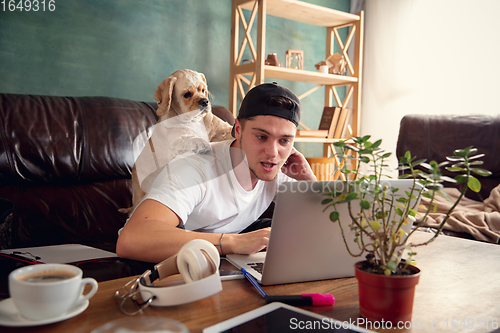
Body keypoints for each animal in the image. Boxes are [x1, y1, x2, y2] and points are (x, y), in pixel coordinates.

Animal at [119, 70, 232, 215]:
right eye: (187, 94)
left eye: (203, 90)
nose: (205, 101)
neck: (194, 121)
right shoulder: (175, 144)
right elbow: (187, 139)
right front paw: (200, 143)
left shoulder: (222, 130)